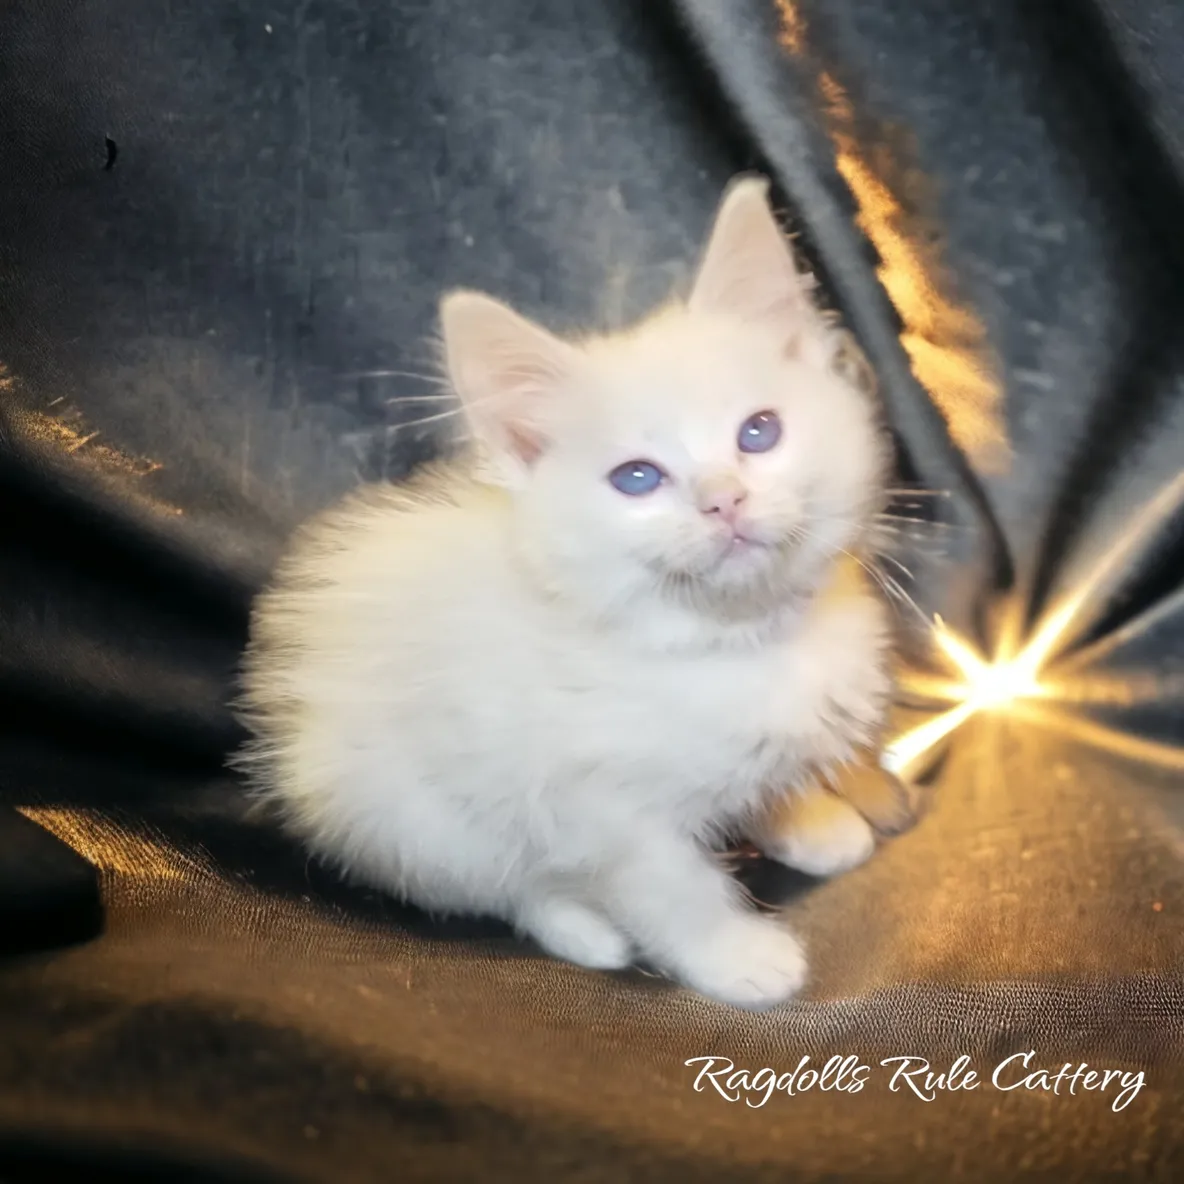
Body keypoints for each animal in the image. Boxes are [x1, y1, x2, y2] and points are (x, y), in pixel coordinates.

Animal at [235, 175, 890, 1008]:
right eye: (637, 478)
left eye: (759, 433)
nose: (724, 500)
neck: (728, 642)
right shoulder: (602, 809)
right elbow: (673, 890)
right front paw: (736, 958)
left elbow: (768, 773)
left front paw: (808, 823)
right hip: (409, 818)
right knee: (499, 886)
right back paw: (583, 930)